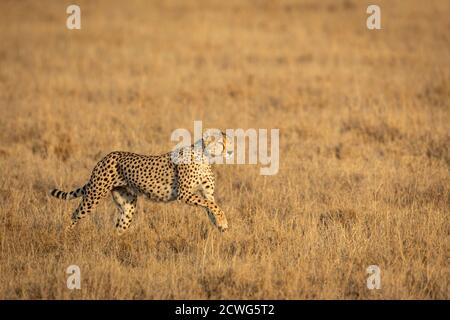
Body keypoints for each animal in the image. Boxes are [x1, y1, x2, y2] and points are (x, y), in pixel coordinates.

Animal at [49, 132, 232, 235]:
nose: (230, 151)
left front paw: (220, 224)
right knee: (74, 214)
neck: (205, 156)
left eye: (230, 142)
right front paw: (223, 222)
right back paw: (64, 236)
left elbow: (212, 206)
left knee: (119, 226)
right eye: (220, 143)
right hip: (94, 195)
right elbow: (213, 206)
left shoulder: (206, 193)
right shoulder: (185, 194)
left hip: (128, 205)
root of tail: (106, 156)